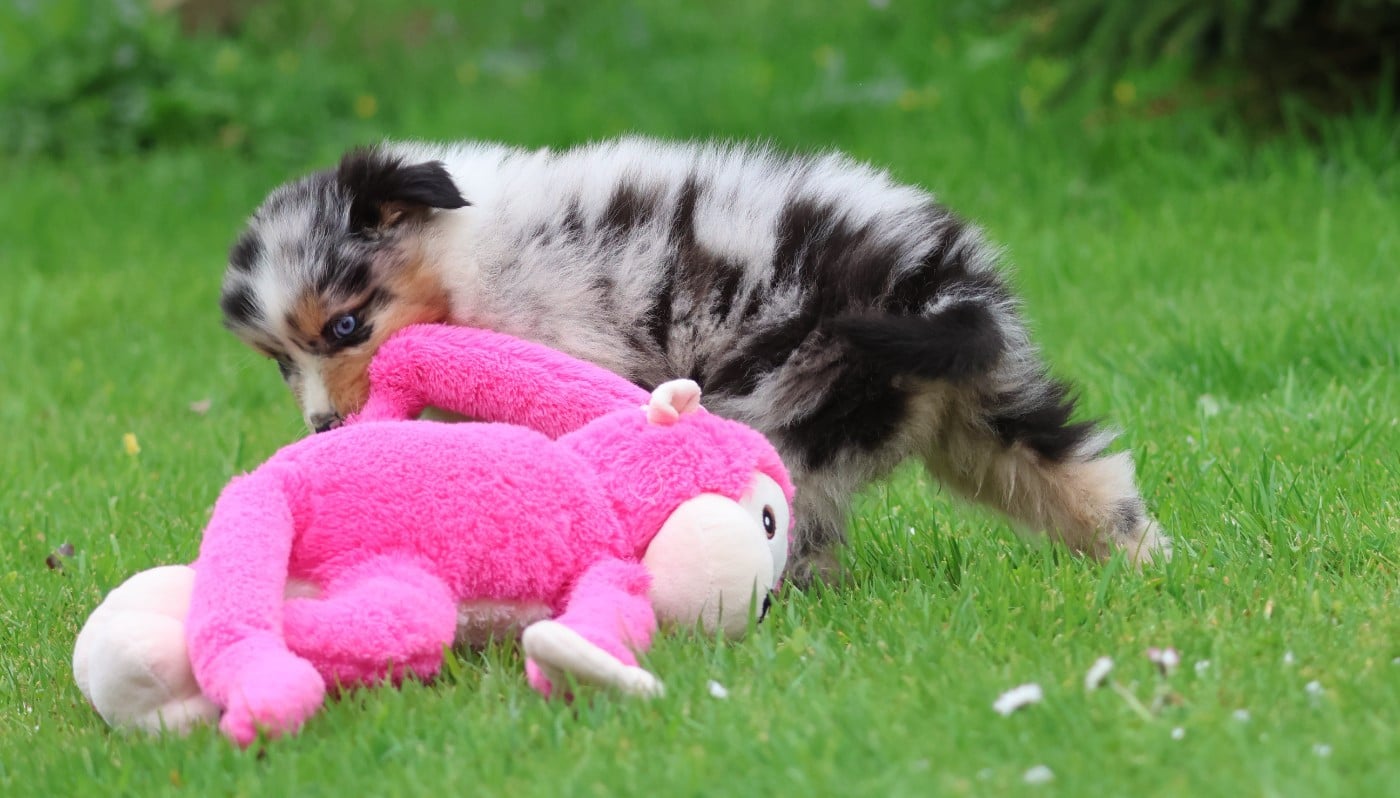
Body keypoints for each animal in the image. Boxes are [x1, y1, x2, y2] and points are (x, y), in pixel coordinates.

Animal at [220, 137, 1169, 582]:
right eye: (279, 361)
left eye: (346, 327)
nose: (325, 427)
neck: (464, 251)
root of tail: (936, 284)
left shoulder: (570, 341)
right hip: (987, 408)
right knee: (1087, 479)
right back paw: (1152, 569)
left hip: (788, 409)